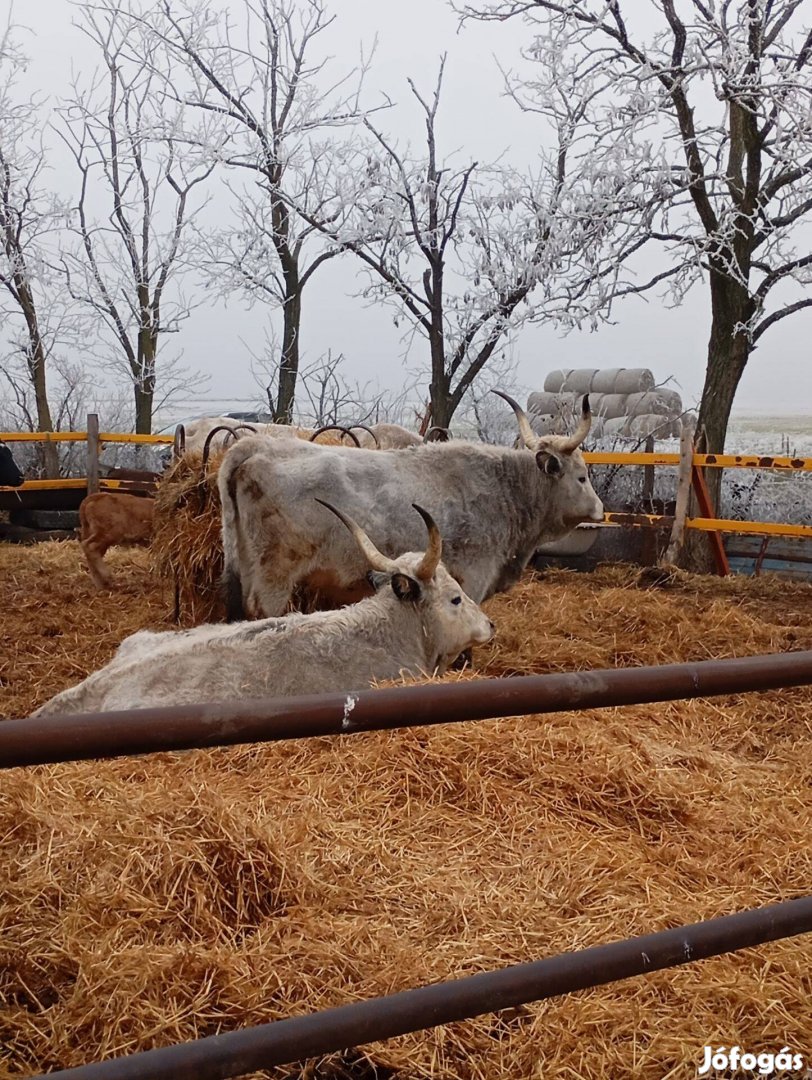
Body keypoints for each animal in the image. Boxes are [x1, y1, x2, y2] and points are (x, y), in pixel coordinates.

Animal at [217, 393, 604, 622]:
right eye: (582, 477)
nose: (600, 510)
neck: (504, 489)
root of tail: (257, 447)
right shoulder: (474, 575)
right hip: (274, 577)